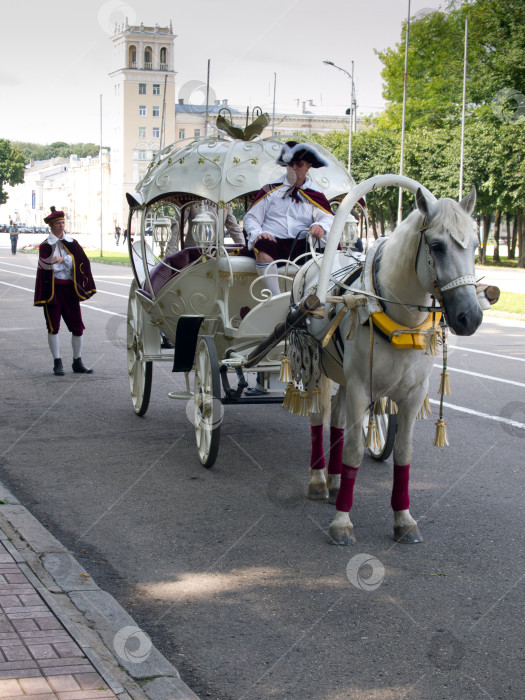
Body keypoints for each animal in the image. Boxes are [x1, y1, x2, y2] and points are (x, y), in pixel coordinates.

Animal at [290, 176, 484, 548]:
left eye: (476, 244)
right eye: (437, 246)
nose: (471, 317)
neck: (396, 317)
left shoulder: (412, 393)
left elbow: (404, 454)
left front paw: (403, 519)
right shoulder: (361, 388)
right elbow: (353, 451)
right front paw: (342, 522)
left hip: (343, 377)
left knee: (337, 419)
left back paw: (335, 480)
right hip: (319, 372)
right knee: (319, 417)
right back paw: (319, 480)